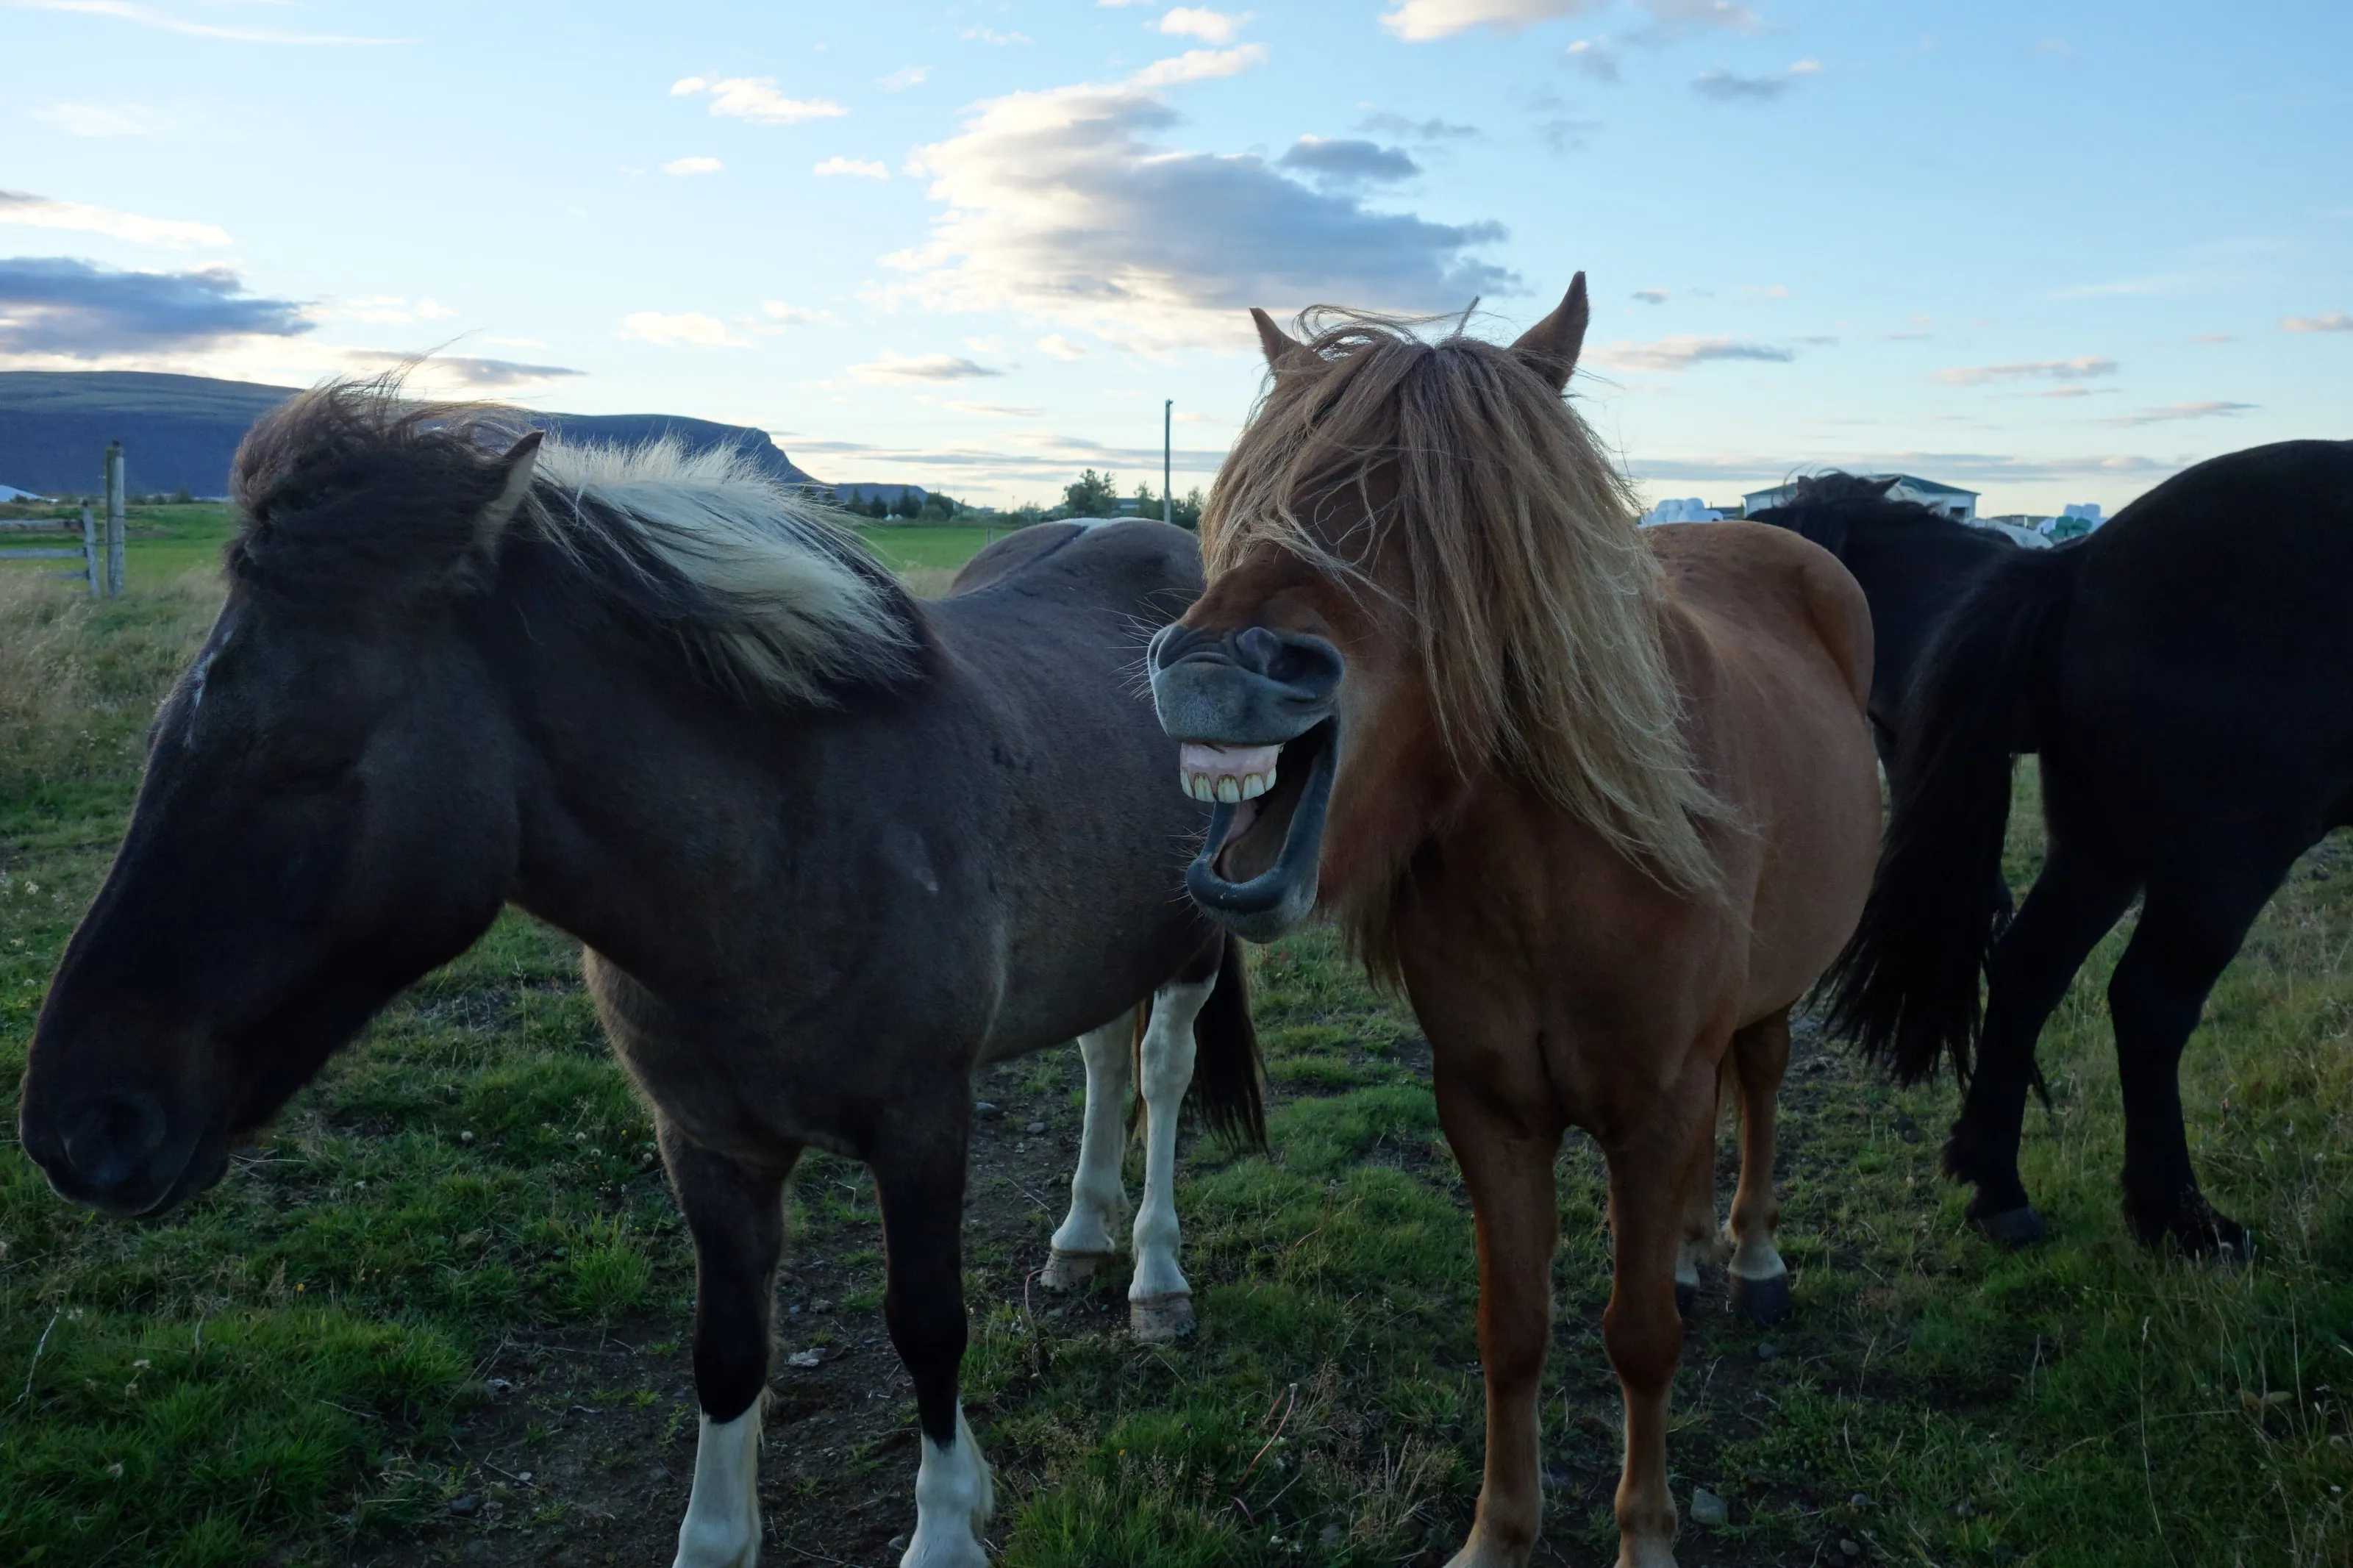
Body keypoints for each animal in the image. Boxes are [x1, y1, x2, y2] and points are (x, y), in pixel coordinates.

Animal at [14, 380, 1265, 1568]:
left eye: (305, 750)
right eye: (160, 736)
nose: (80, 1126)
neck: (785, 847)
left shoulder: (921, 1122)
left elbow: (927, 1322)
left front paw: (948, 1527)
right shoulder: (704, 1141)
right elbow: (726, 1350)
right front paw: (718, 1535)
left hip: (1192, 939)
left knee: (1160, 1067)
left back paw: (1154, 1278)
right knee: (1103, 1056)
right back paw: (1079, 1237)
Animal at [1142, 277, 1881, 1568]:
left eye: (1439, 526)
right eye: (1257, 501)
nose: (1208, 666)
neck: (1557, 881)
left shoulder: (1657, 1099)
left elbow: (1638, 1339)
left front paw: (1646, 1538)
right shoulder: (1486, 1106)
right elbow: (1515, 1328)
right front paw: (1499, 1533)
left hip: (1766, 1005)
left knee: (1760, 1080)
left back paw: (1749, 1254)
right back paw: (1698, 1249)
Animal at [1826, 438, 2353, 1257]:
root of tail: (2078, 566)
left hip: (2107, 844)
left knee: (2030, 969)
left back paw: (2002, 1186)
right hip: (2217, 857)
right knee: (2147, 1001)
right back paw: (2179, 1217)